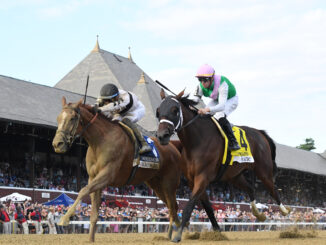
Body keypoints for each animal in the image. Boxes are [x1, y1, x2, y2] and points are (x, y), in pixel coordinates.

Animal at [52, 97, 182, 241]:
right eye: (58, 118)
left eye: (72, 118)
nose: (57, 144)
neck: (100, 141)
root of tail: (173, 147)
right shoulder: (93, 178)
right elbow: (94, 213)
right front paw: (90, 240)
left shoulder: (107, 175)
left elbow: (82, 190)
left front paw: (64, 219)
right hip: (156, 185)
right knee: (171, 207)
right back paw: (170, 235)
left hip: (169, 184)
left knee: (173, 207)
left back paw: (176, 234)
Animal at [156, 90, 290, 243]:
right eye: (158, 111)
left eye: (175, 110)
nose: (162, 135)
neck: (196, 141)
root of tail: (260, 133)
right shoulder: (192, 180)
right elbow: (207, 207)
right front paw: (217, 231)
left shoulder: (203, 177)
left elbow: (189, 206)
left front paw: (177, 235)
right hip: (235, 176)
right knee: (251, 188)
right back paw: (259, 214)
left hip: (263, 171)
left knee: (273, 189)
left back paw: (285, 211)